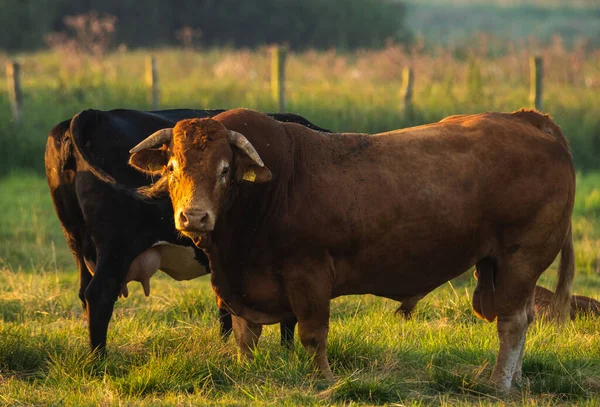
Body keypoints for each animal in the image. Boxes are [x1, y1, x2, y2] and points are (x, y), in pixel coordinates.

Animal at [45, 109, 328, 354]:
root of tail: (92, 115)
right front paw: (288, 352)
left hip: (78, 245)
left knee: (84, 294)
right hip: (116, 248)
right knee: (99, 294)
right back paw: (99, 359)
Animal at [130, 108, 576, 392]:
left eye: (225, 170)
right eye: (172, 167)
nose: (194, 216)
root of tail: (528, 119)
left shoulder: (308, 274)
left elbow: (313, 334)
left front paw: (323, 381)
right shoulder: (240, 285)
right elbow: (245, 335)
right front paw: (245, 373)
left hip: (521, 257)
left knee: (512, 322)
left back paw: (499, 384)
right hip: (499, 265)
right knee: (524, 315)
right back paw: (515, 379)